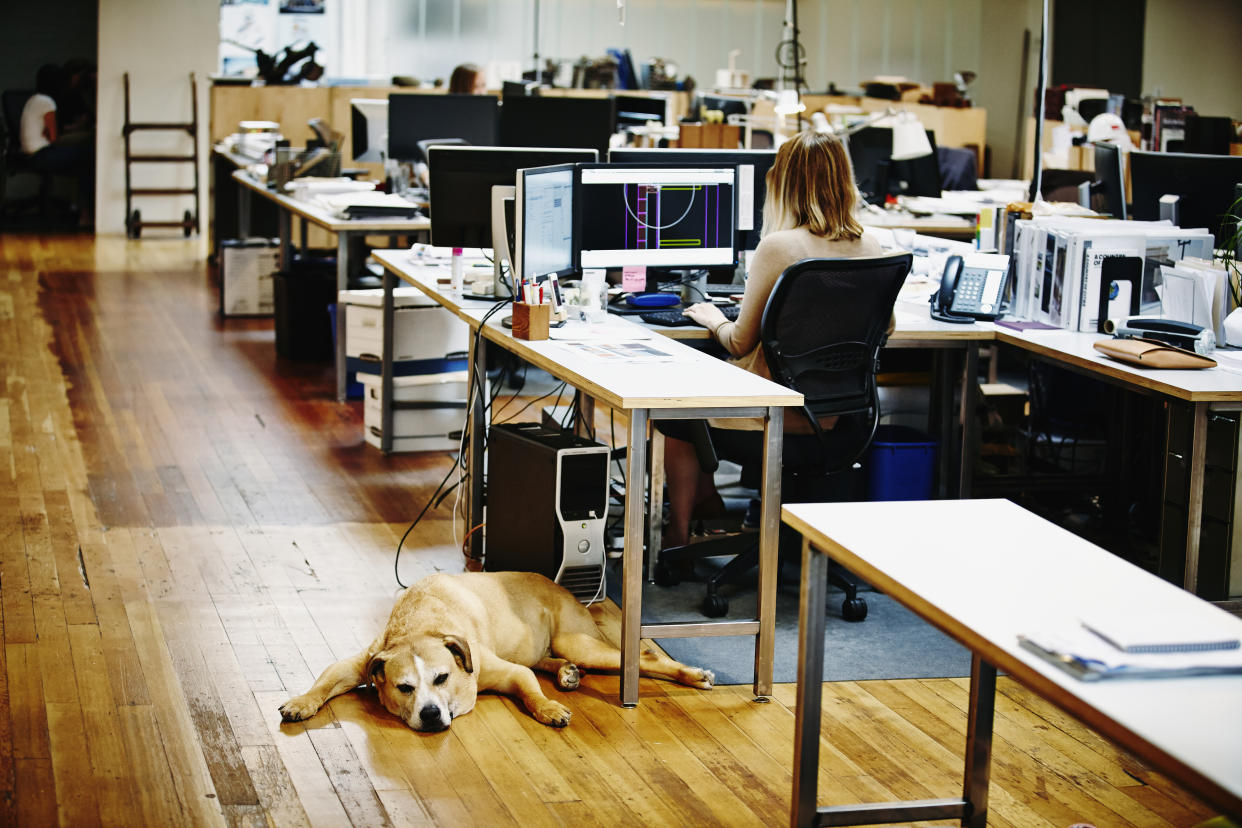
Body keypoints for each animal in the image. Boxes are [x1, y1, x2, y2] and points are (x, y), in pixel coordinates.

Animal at [276, 573, 715, 729]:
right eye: (404, 688)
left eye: (442, 678)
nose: (430, 714)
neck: (422, 626)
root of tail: (562, 587)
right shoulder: (364, 661)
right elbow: (324, 680)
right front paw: (301, 702)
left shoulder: (509, 672)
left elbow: (530, 693)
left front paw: (548, 709)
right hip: (553, 649)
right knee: (551, 661)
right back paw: (567, 673)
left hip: (578, 641)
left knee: (643, 659)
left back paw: (693, 674)